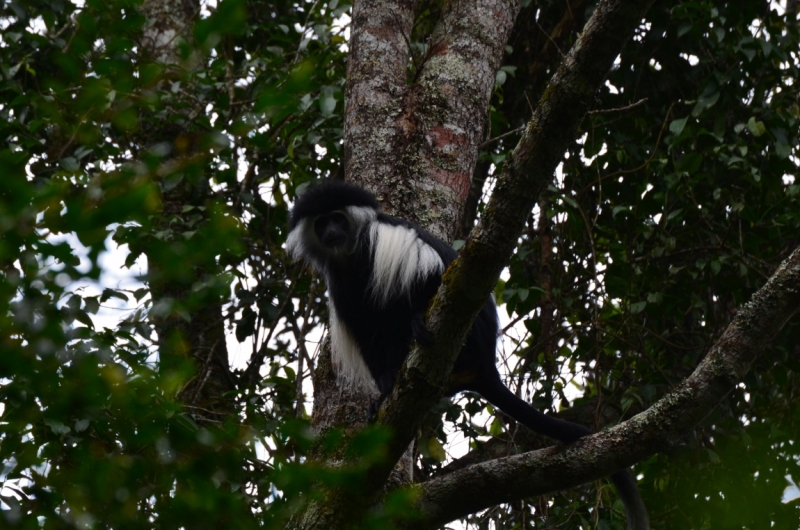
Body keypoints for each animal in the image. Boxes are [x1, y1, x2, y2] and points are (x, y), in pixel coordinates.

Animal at [288, 182, 648, 528]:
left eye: (338, 218)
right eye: (322, 222)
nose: (331, 231)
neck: (351, 255)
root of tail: (486, 365)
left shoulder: (384, 241)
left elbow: (430, 278)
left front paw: (414, 323)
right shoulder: (340, 284)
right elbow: (368, 335)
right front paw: (384, 393)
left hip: (470, 333)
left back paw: (418, 327)